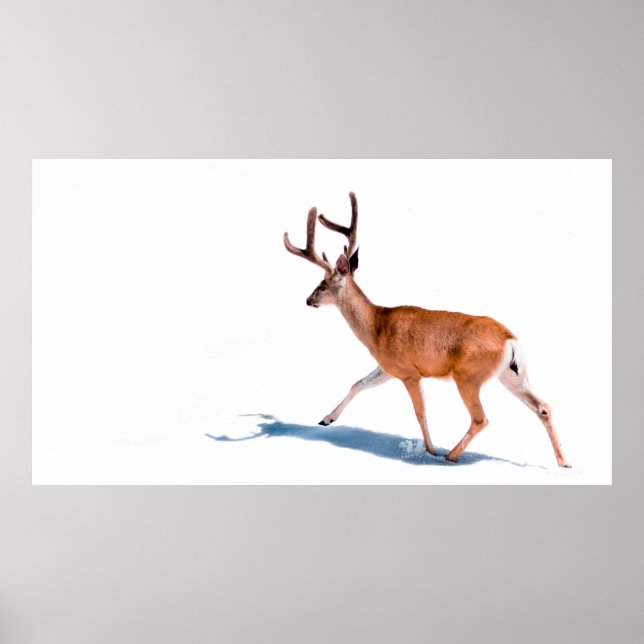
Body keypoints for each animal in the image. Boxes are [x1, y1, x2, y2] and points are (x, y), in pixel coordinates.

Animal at [283, 192, 571, 468]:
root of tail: (510, 341)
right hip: (511, 374)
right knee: (543, 407)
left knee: (481, 418)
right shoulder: (388, 367)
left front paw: (430, 450)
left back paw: (450, 455)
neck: (376, 326)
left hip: (469, 376)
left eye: (322, 285)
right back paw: (564, 462)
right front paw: (326, 419)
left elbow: (420, 412)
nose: (308, 300)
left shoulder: (409, 372)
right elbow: (358, 383)